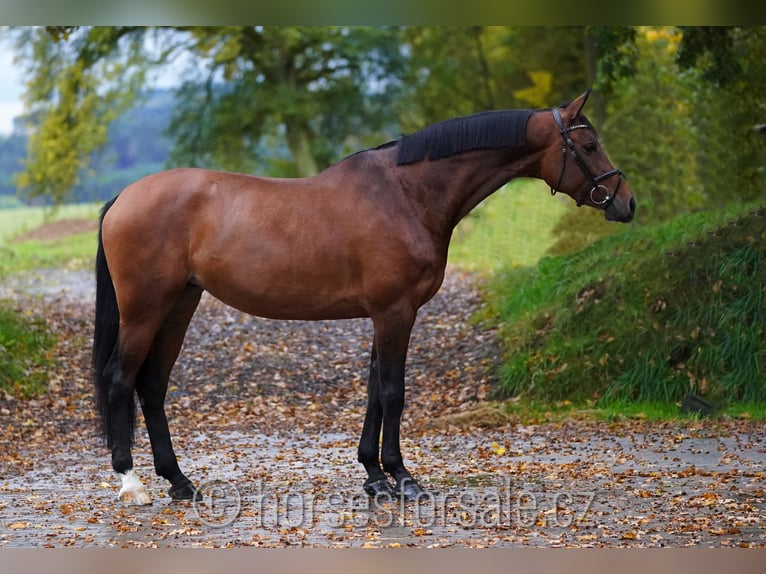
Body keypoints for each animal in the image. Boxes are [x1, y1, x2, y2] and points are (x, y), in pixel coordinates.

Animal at [94, 90, 636, 508]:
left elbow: (376, 391)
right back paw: (132, 483)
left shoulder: (385, 314)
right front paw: (404, 479)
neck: (404, 194)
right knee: (121, 380)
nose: (626, 203)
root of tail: (123, 197)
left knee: (152, 386)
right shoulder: (396, 312)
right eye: (588, 144)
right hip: (145, 309)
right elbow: (394, 393)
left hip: (179, 306)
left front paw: (375, 478)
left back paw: (180, 483)